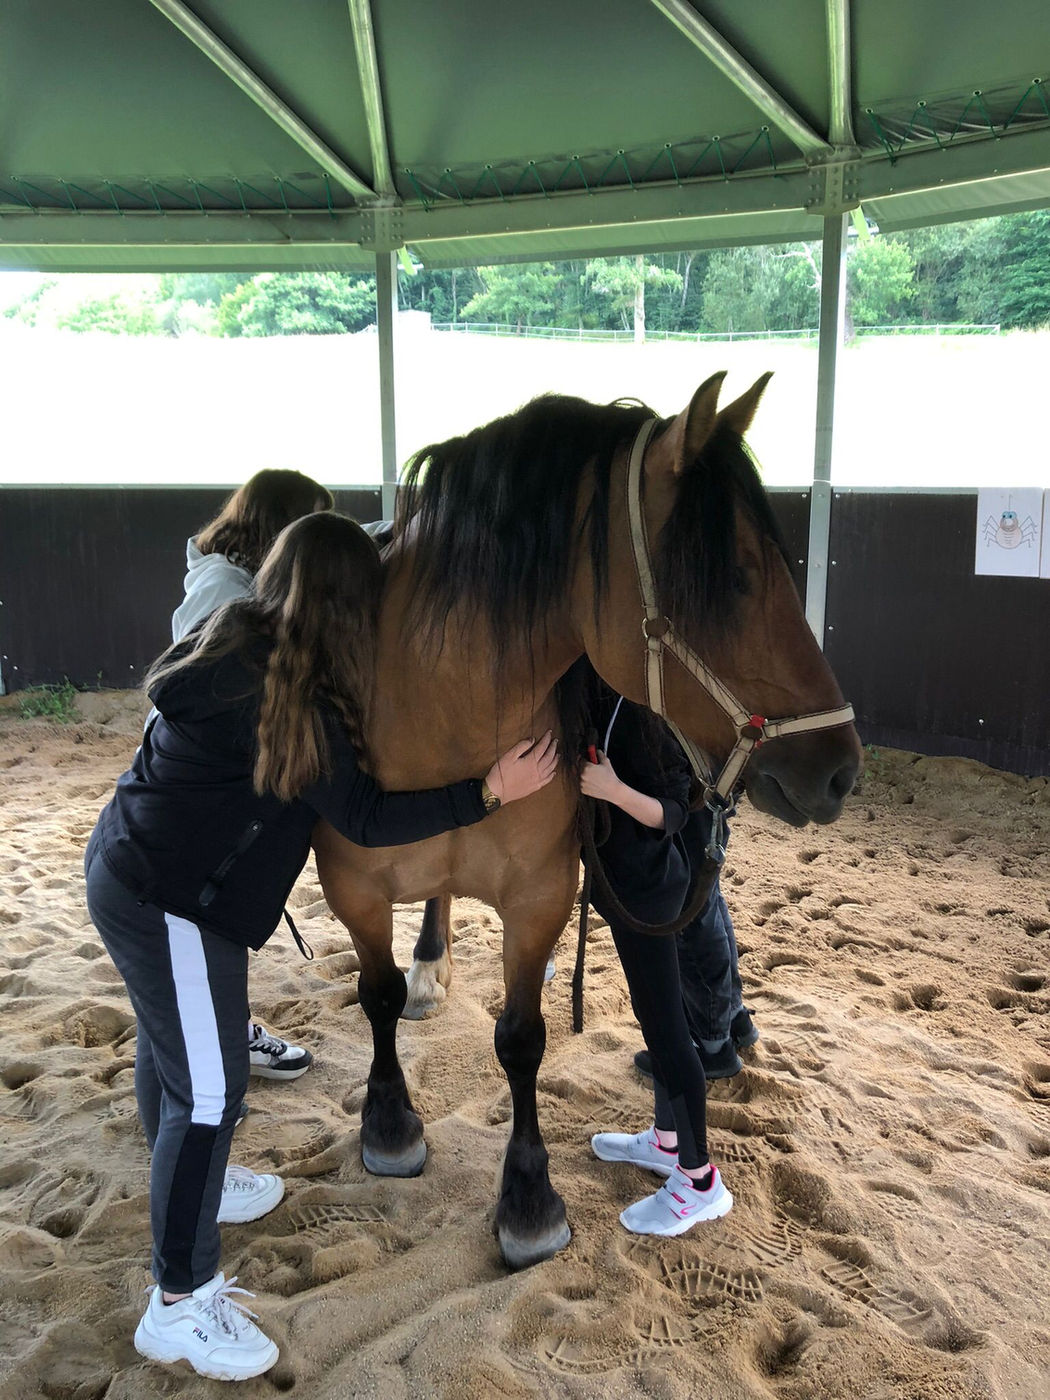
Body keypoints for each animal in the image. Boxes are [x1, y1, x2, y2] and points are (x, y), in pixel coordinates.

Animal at [313, 373, 862, 1269]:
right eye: (739, 578)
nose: (841, 768)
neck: (440, 713)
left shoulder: (540, 897)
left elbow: (521, 1039)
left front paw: (529, 1200)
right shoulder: (352, 886)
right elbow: (378, 995)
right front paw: (390, 1126)